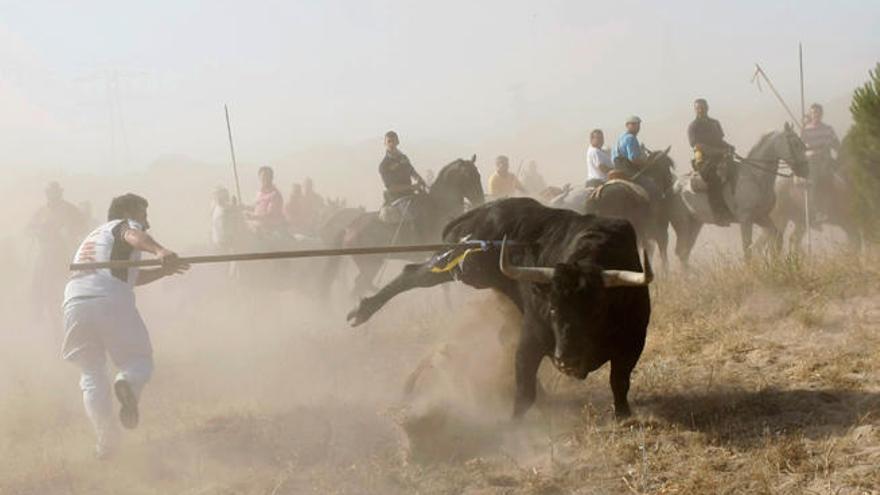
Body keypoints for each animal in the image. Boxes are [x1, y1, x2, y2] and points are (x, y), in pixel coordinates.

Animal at [320, 155, 482, 296]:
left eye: (478, 175)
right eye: (469, 176)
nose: (480, 199)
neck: (439, 207)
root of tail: (348, 229)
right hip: (370, 265)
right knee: (358, 287)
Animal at [346, 198, 652, 418]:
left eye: (596, 311)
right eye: (552, 309)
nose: (566, 359)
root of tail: (483, 210)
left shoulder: (634, 341)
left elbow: (619, 381)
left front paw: (624, 415)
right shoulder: (531, 337)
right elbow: (524, 389)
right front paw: (516, 427)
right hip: (467, 266)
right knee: (414, 274)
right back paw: (362, 311)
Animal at [672, 122, 808, 266]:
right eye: (795, 143)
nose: (806, 170)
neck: (755, 178)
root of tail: (673, 185)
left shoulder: (761, 217)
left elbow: (776, 238)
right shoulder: (746, 219)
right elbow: (747, 249)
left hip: (696, 223)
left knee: (684, 253)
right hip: (683, 224)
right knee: (682, 251)